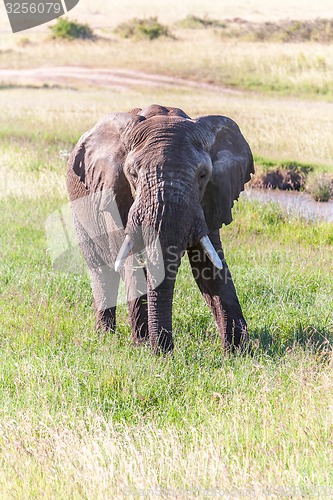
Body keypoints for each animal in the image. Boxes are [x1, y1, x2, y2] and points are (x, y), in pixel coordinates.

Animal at [66, 104, 253, 354]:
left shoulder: (209, 199)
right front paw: (143, 346)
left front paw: (239, 350)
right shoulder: (114, 196)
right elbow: (131, 262)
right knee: (101, 271)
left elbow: (209, 265)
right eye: (133, 174)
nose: (165, 352)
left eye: (203, 175)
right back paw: (105, 337)